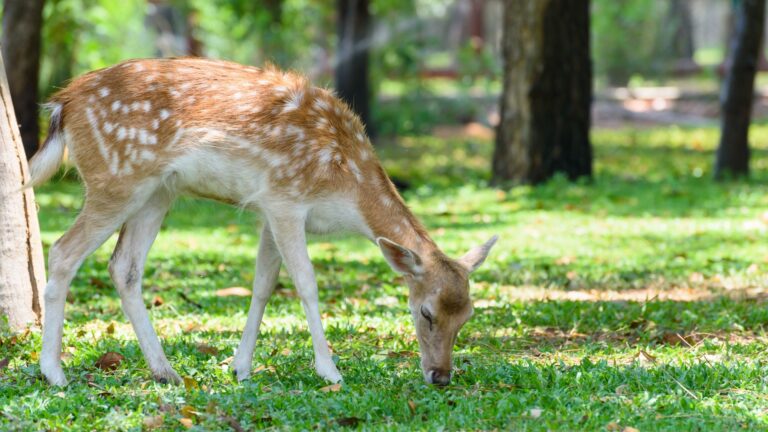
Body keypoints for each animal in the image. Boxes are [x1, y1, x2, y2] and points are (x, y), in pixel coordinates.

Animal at [28, 58, 498, 387]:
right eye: (425, 312)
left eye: (468, 315)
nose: (440, 376)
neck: (346, 186)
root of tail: (63, 103)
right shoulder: (285, 198)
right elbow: (305, 284)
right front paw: (330, 370)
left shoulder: (269, 211)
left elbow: (263, 285)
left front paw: (240, 367)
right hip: (116, 179)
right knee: (63, 250)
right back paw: (54, 372)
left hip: (157, 192)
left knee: (123, 267)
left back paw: (166, 372)